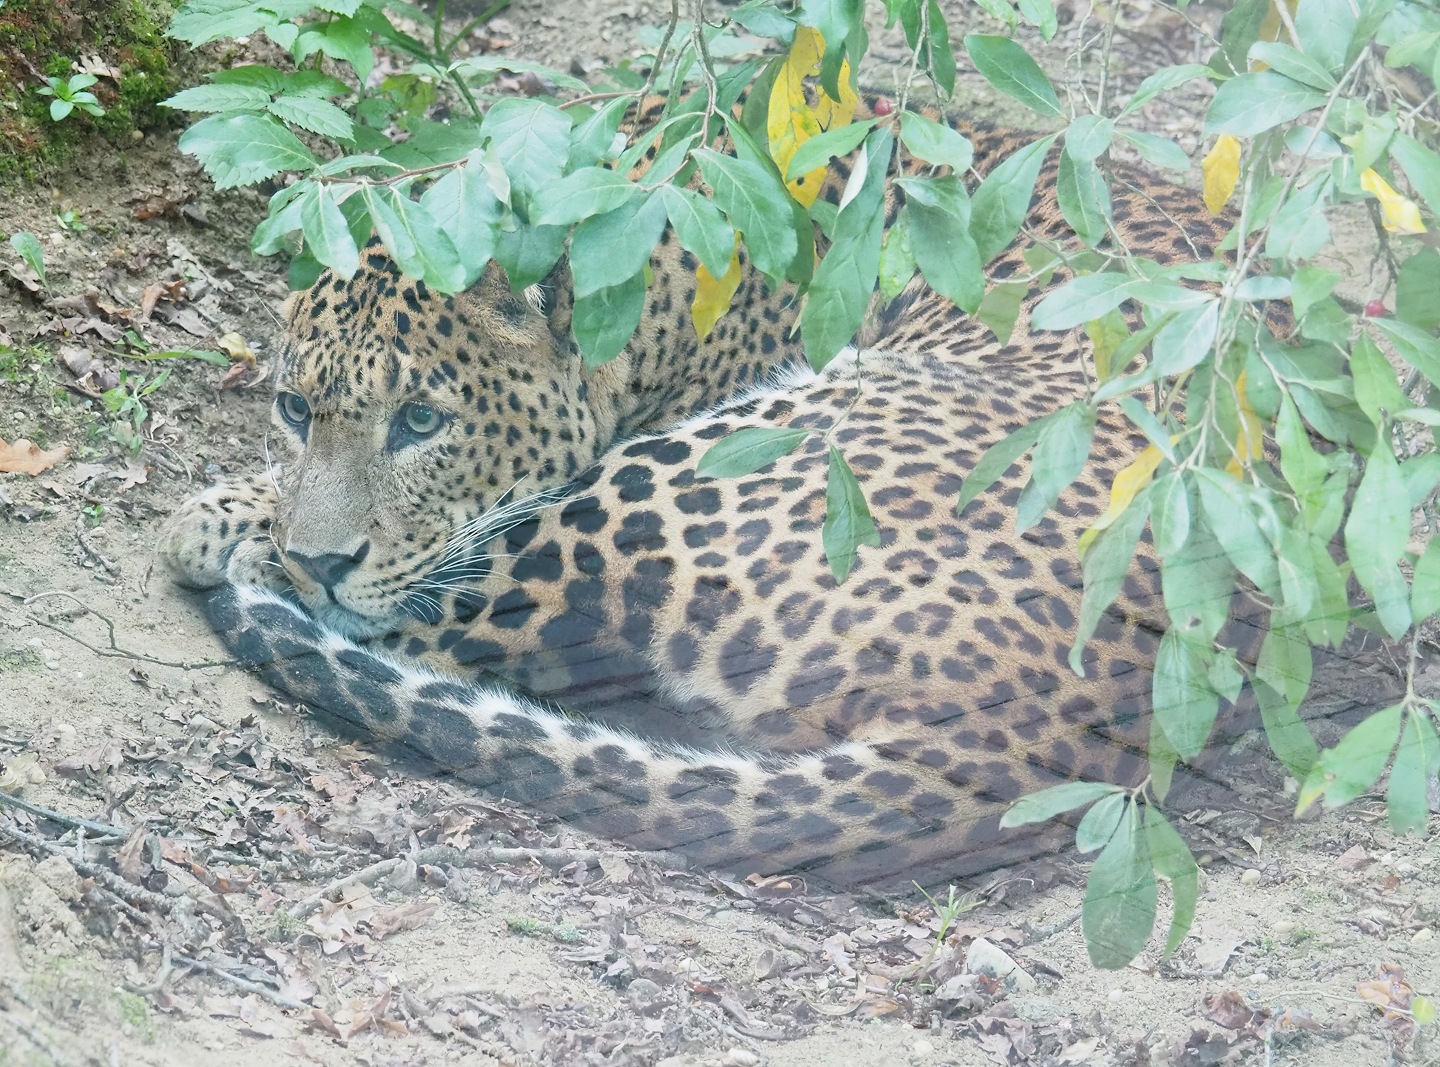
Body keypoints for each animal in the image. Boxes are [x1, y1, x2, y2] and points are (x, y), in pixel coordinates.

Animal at [159, 102, 1252, 889]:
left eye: (422, 422)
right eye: (295, 408)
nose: (318, 560)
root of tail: (1039, 728)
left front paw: (233, 523)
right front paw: (249, 513)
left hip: (705, 470)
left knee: (473, 618)